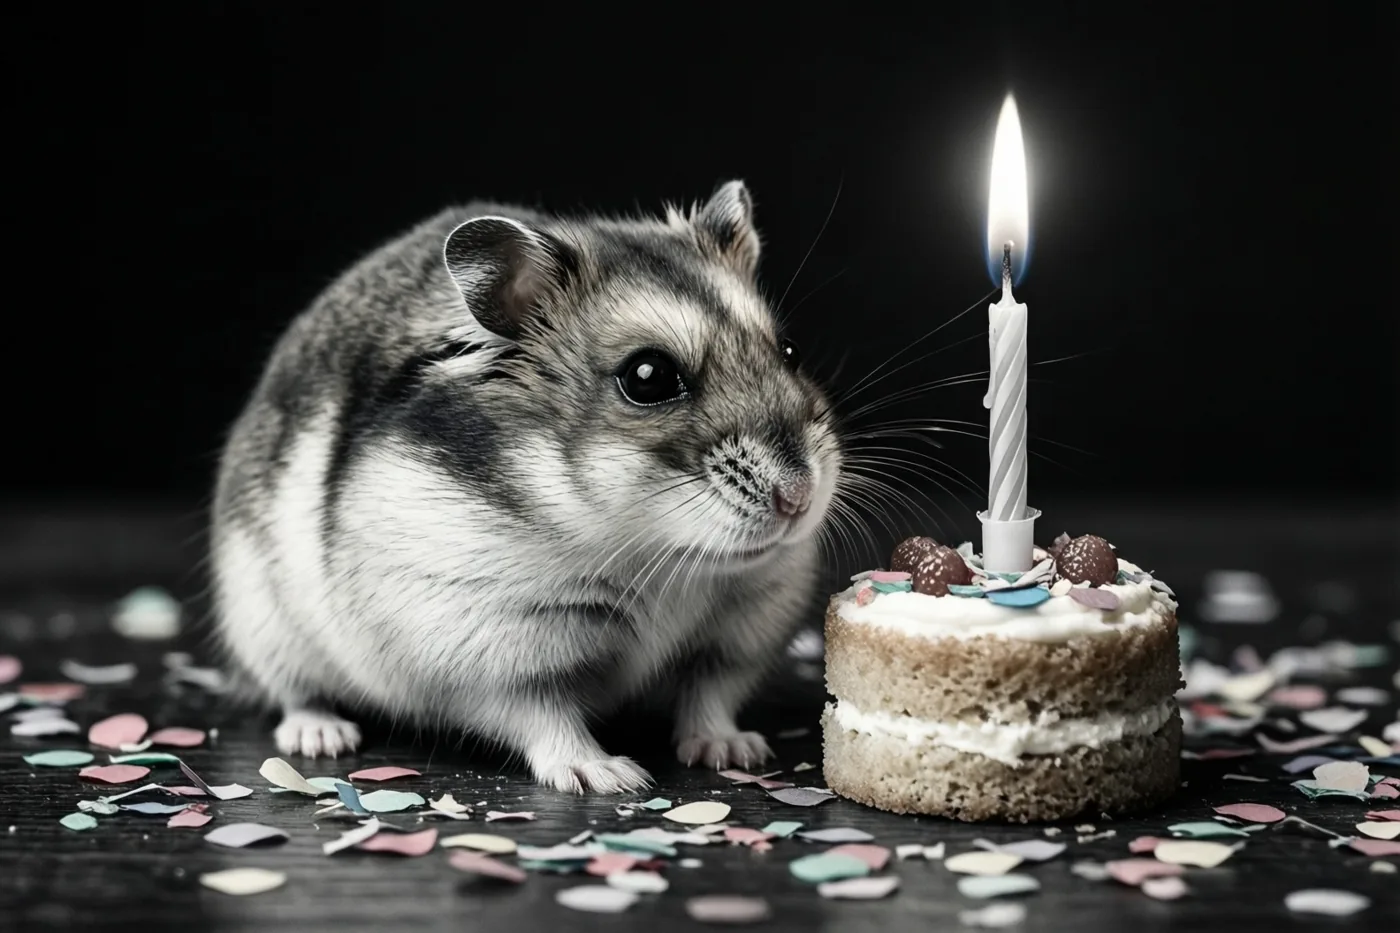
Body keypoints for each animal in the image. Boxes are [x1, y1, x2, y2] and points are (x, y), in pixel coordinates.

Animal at [210, 180, 842, 793]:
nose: (798, 499)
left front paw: (736, 751)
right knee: (295, 692)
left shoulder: (740, 627)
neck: (662, 559)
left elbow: (709, 696)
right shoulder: (489, 647)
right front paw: (609, 777)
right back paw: (323, 737)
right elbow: (543, 715)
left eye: (790, 352)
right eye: (648, 377)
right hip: (264, 623)